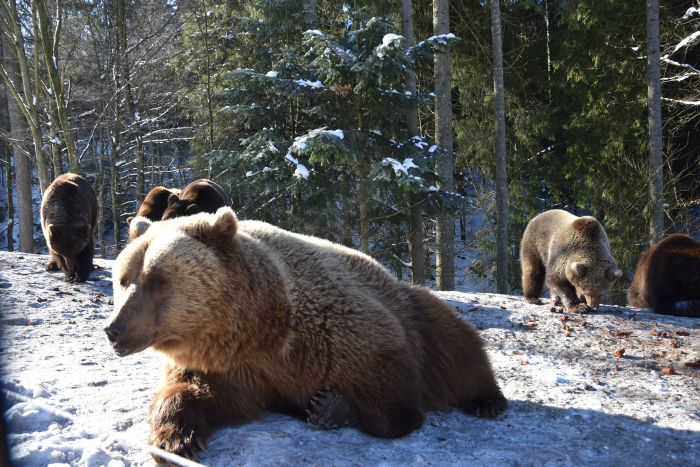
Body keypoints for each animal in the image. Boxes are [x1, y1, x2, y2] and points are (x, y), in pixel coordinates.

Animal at [105, 208, 508, 464]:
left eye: (157, 280)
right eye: (123, 279)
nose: (114, 329)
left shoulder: (332, 327)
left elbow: (390, 389)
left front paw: (343, 408)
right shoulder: (233, 367)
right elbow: (199, 393)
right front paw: (178, 439)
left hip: (415, 307)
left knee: (456, 346)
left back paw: (487, 400)